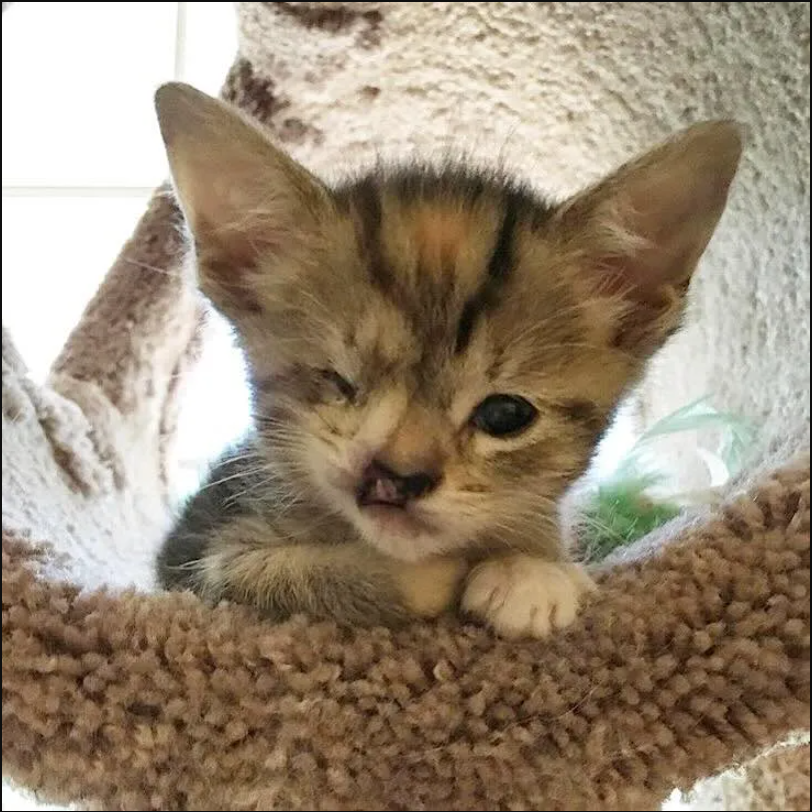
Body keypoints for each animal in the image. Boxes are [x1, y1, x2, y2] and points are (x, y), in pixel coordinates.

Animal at [152, 84, 744, 640]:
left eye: (505, 415)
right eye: (338, 383)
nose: (395, 478)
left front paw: (532, 568)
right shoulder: (192, 559)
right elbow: (266, 570)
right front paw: (439, 574)